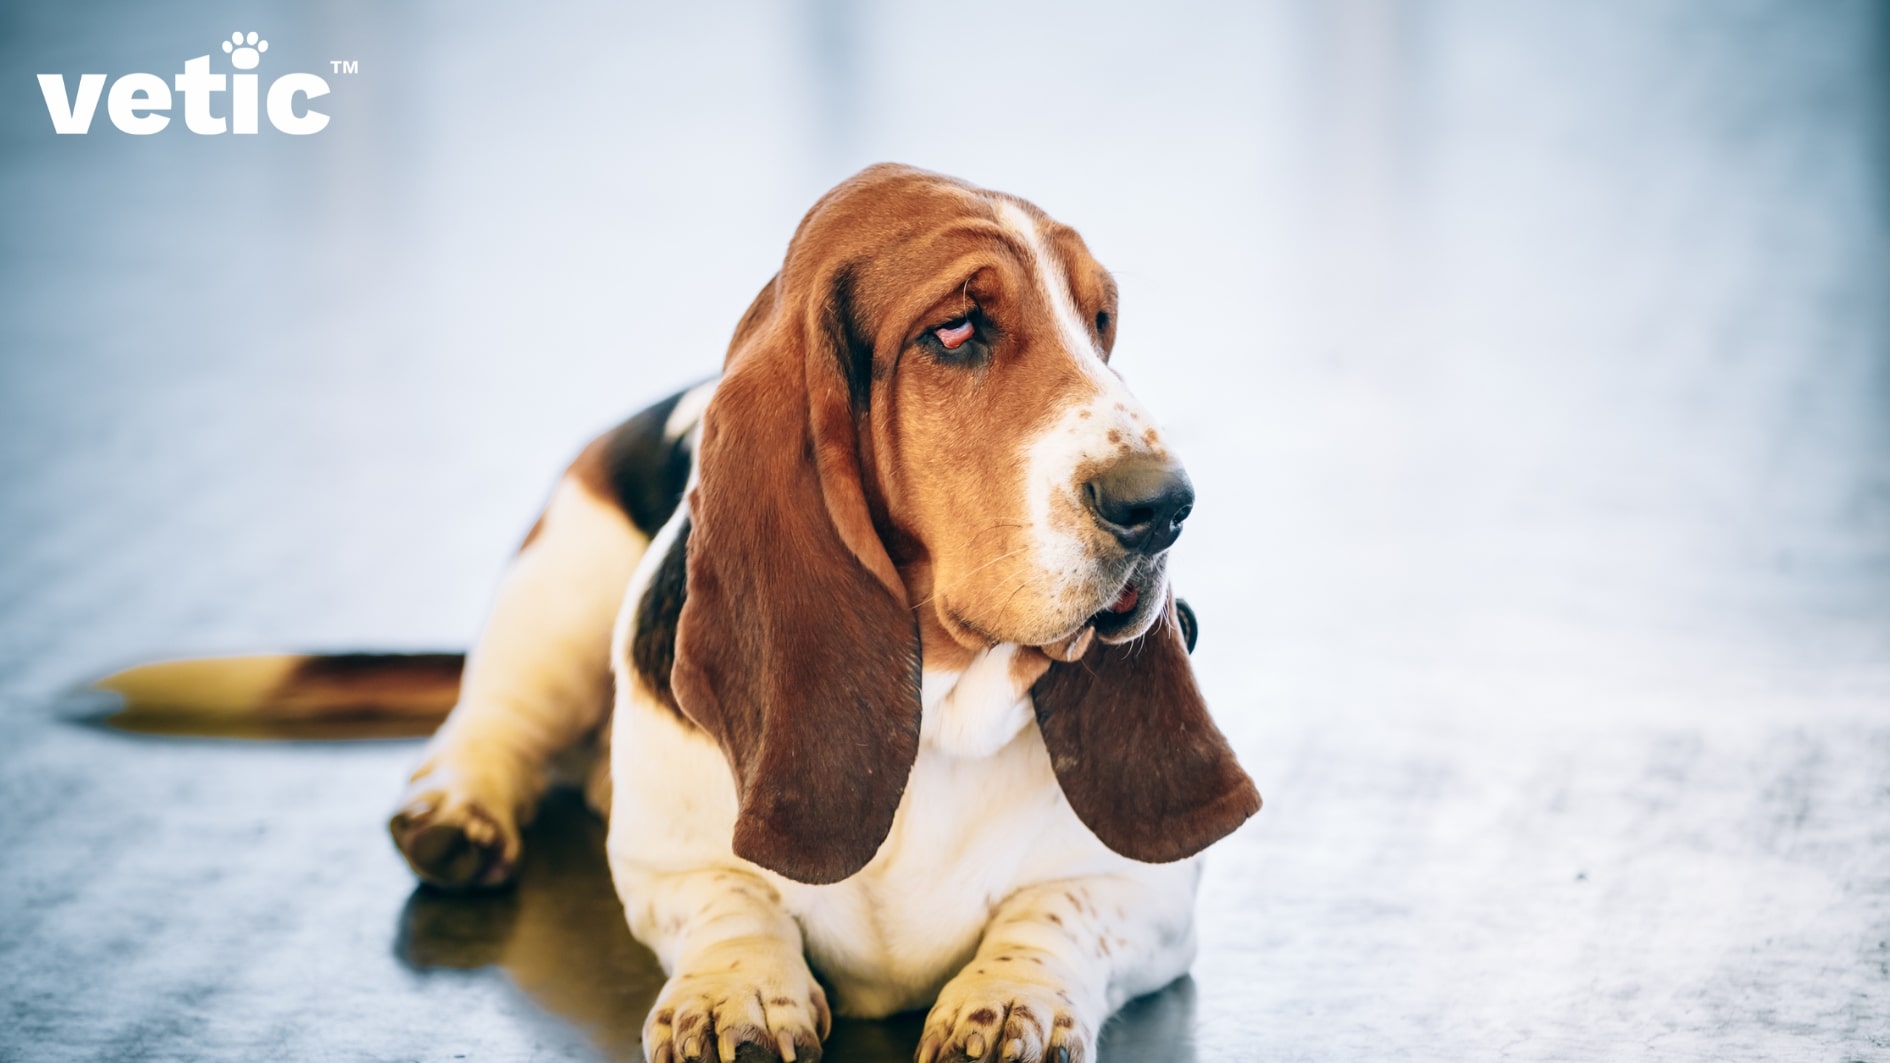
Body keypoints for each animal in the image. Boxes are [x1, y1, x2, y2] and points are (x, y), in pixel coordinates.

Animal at [103, 161, 1262, 1051]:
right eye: (958, 330)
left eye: (1099, 324)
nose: (1164, 504)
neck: (938, 704)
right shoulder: (669, 865)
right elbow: (728, 898)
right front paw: (735, 990)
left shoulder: (1146, 897)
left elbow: (1055, 913)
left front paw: (1007, 1002)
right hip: (558, 585)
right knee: (490, 723)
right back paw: (455, 813)